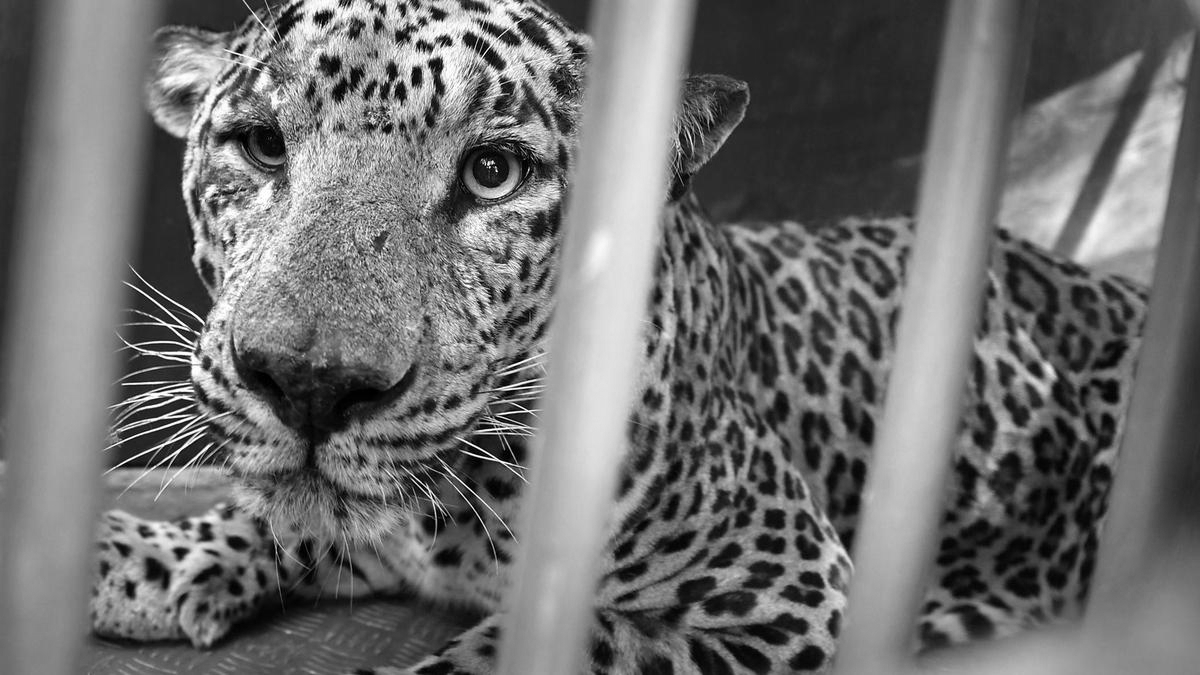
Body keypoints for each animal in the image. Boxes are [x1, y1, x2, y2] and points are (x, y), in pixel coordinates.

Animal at [90, 0, 1148, 672]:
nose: (308, 382)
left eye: (493, 173)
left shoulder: (791, 587)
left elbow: (579, 639)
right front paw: (130, 558)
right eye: (262, 145)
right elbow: (276, 513)